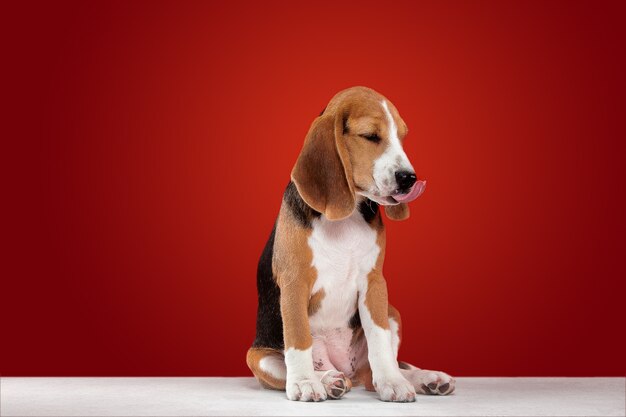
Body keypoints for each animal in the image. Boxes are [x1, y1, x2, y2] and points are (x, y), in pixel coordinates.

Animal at [245, 85, 454, 400]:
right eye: (371, 136)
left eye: (402, 137)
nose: (408, 178)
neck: (346, 216)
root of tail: (344, 368)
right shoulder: (294, 283)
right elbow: (298, 338)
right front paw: (304, 382)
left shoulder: (375, 282)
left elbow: (379, 339)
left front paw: (392, 382)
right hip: (257, 356)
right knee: (298, 364)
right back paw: (327, 379)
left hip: (392, 312)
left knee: (372, 373)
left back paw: (424, 378)